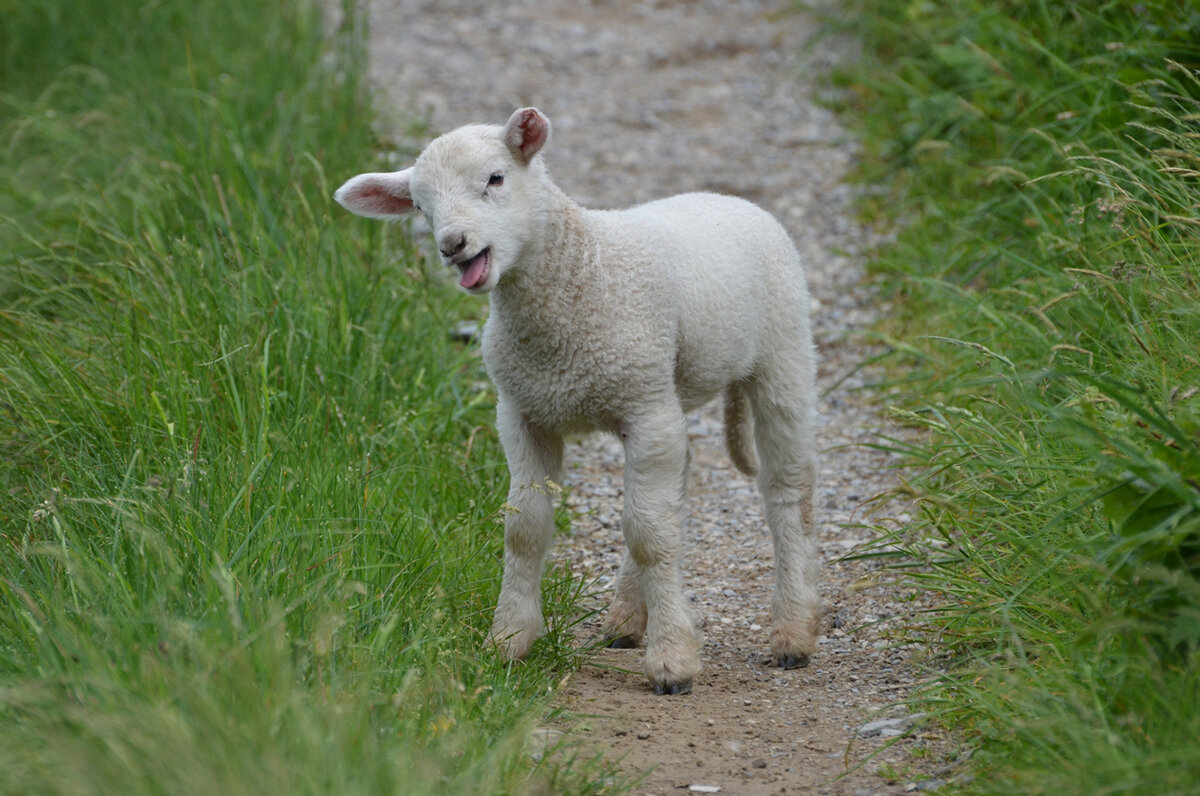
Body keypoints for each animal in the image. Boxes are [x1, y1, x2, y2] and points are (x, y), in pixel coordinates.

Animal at [336, 109, 816, 696]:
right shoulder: (523, 413)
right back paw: (629, 618)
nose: (453, 244)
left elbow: (650, 536)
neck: (582, 269)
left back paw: (793, 631)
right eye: (422, 207)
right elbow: (526, 530)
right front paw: (509, 639)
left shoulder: (642, 406)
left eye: (495, 178)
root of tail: (726, 198)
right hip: (668, 389)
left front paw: (673, 661)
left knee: (786, 490)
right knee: (673, 491)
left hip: (781, 353)